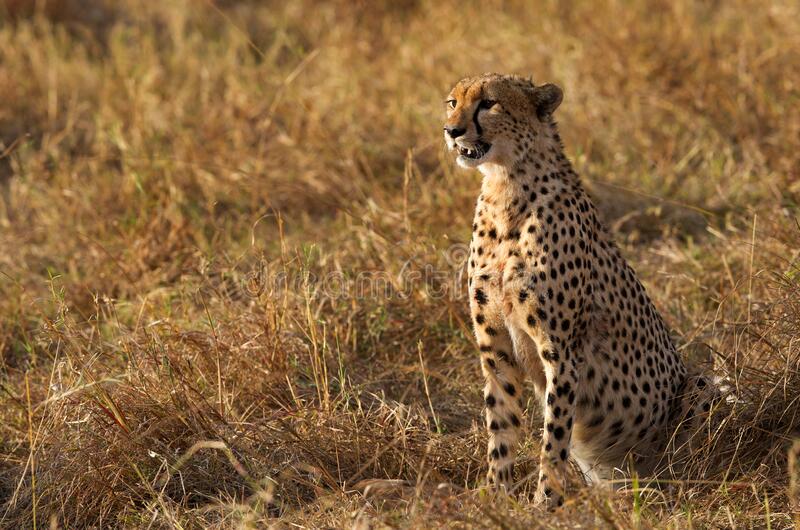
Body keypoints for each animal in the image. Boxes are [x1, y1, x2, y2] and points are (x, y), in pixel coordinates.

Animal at [443, 73, 717, 508]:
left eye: (488, 103)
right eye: (452, 102)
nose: (452, 131)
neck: (505, 187)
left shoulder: (562, 353)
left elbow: (554, 437)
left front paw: (545, 504)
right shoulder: (496, 349)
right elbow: (500, 427)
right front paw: (496, 498)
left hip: (702, 385)